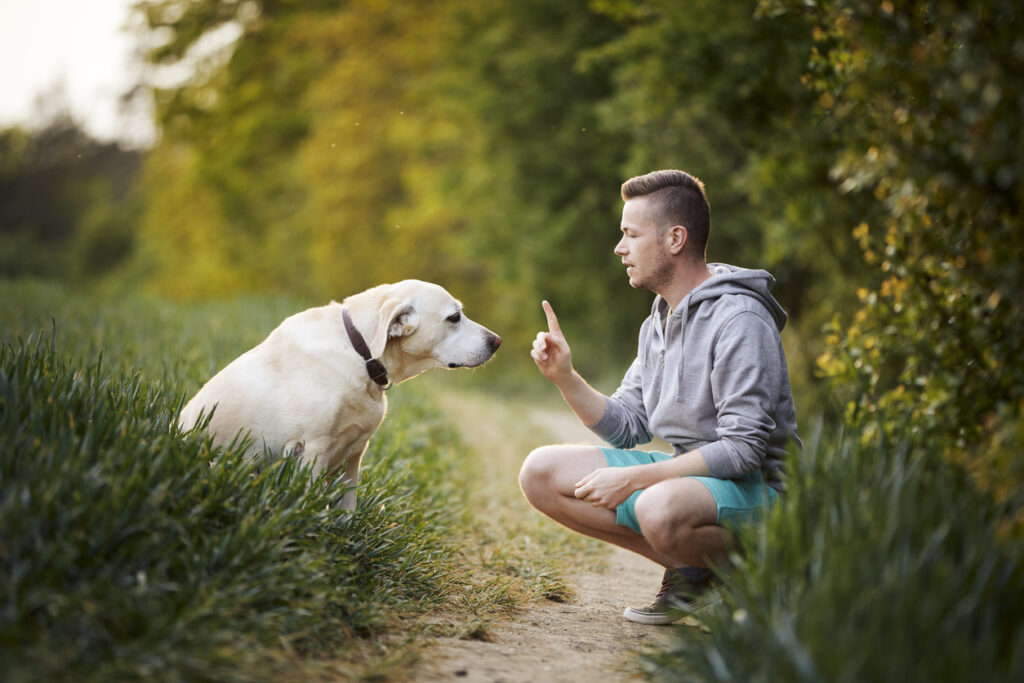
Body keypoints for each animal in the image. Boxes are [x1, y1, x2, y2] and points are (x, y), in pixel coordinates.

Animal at [178, 280, 501, 509]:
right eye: (454, 317)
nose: (497, 341)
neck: (362, 353)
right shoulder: (313, 449)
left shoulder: (354, 455)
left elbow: (348, 508)